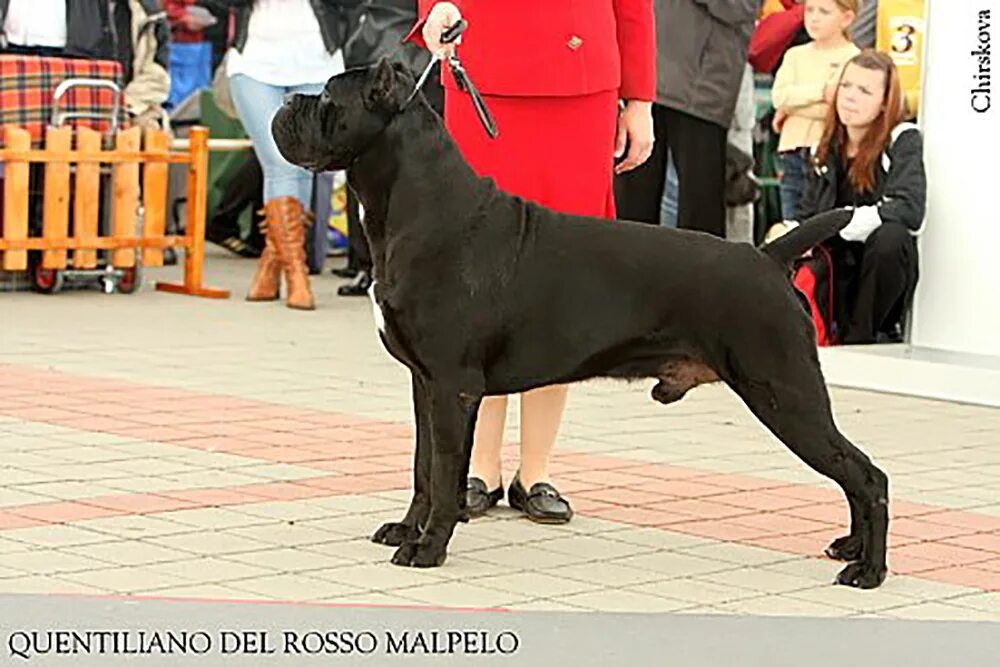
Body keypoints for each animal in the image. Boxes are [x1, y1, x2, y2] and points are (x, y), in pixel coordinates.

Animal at [274, 60, 892, 588]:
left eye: (326, 97)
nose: (286, 102)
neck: (416, 208)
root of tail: (767, 255)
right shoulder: (424, 384)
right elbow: (423, 468)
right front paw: (407, 529)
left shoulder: (452, 386)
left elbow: (445, 472)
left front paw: (427, 549)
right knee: (855, 474)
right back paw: (850, 549)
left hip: (785, 394)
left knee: (866, 476)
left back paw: (868, 570)